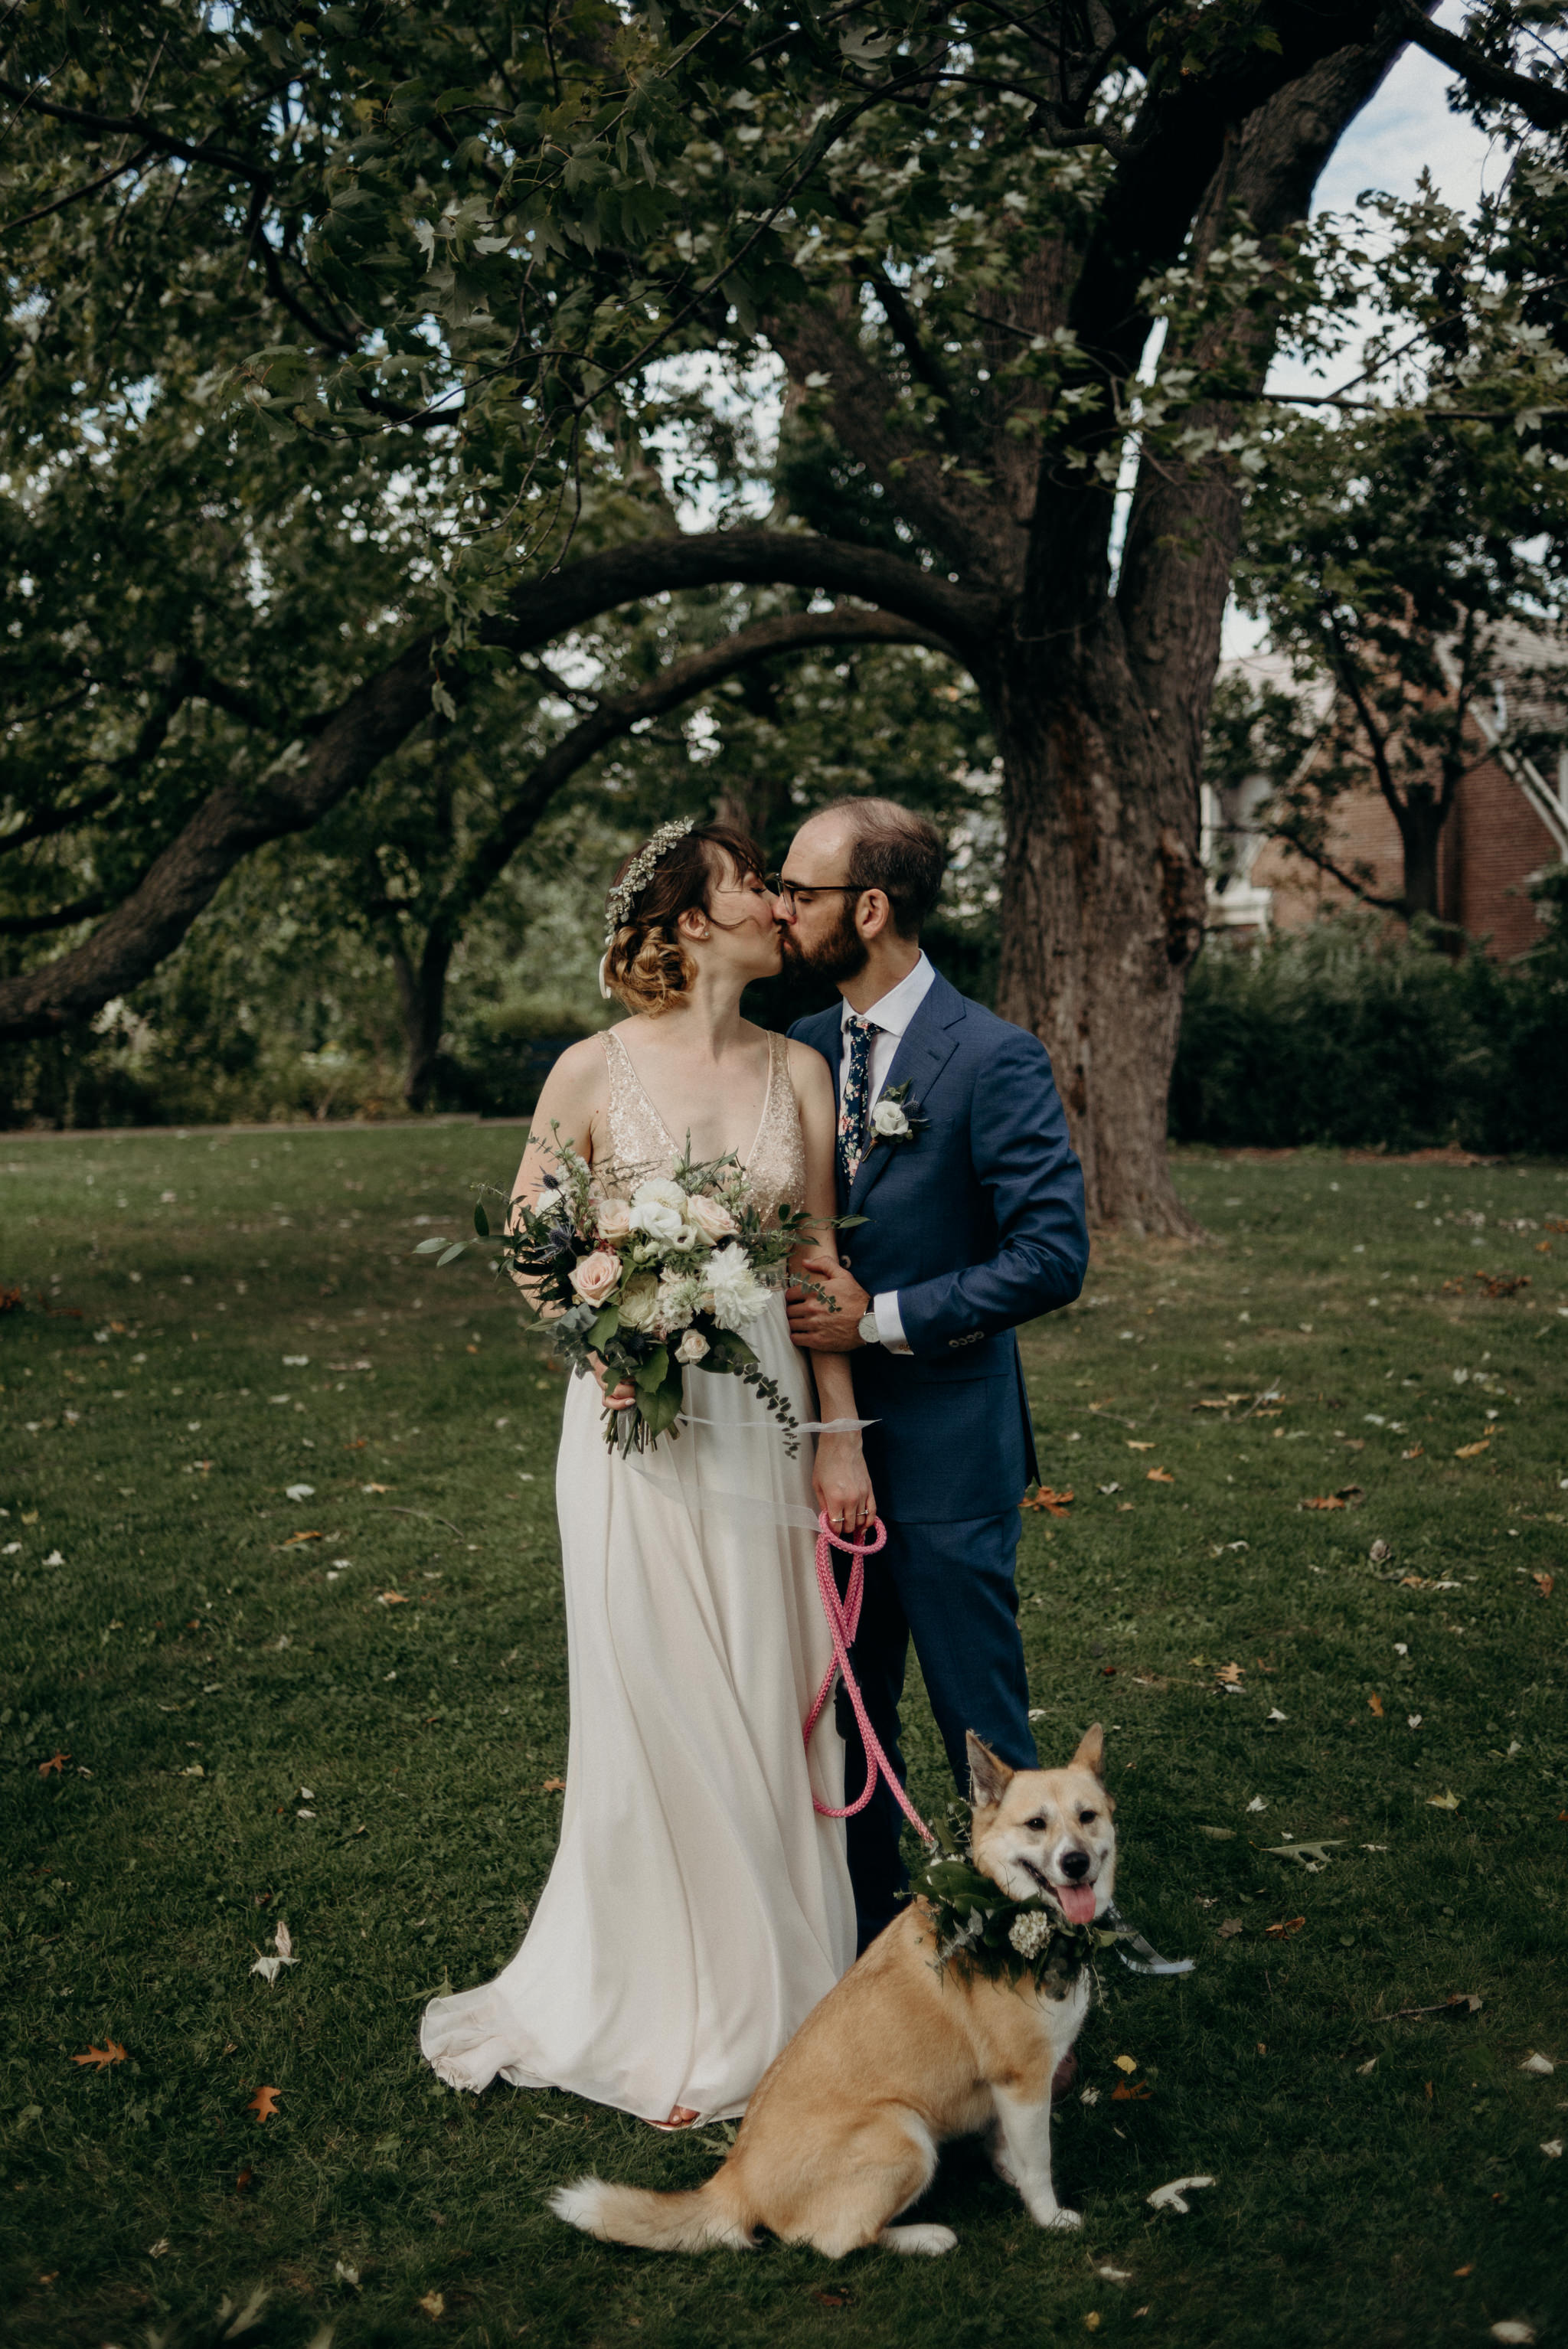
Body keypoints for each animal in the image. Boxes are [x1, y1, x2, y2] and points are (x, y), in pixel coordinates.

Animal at [551, 1729, 1112, 2255]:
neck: (1000, 1914)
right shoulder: (1023, 2079)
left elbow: (1007, 2143)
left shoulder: (1008, 2087)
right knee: (837, 2240)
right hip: (903, 2131)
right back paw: (925, 2237)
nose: (1076, 1863)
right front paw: (1049, 2217)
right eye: (1036, 1824)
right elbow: (1040, 2161)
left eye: (1087, 1817)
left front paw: (1009, 2171)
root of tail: (734, 2179)